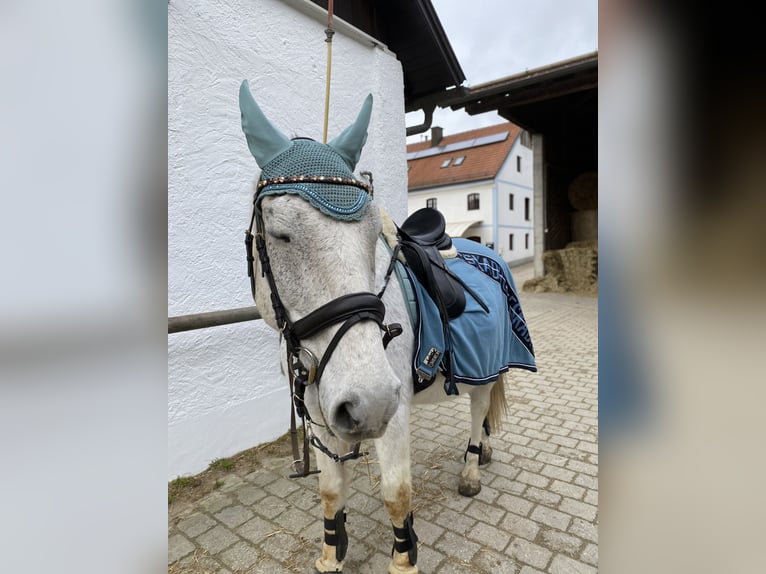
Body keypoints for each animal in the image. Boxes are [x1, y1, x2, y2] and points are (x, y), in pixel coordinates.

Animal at [240, 82, 516, 574]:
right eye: (280, 234)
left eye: (372, 236)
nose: (368, 402)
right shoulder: (321, 414)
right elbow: (330, 492)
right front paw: (331, 554)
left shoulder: (395, 411)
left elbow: (396, 493)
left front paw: (403, 559)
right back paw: (483, 452)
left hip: (484, 371)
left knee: (478, 409)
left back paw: (470, 470)